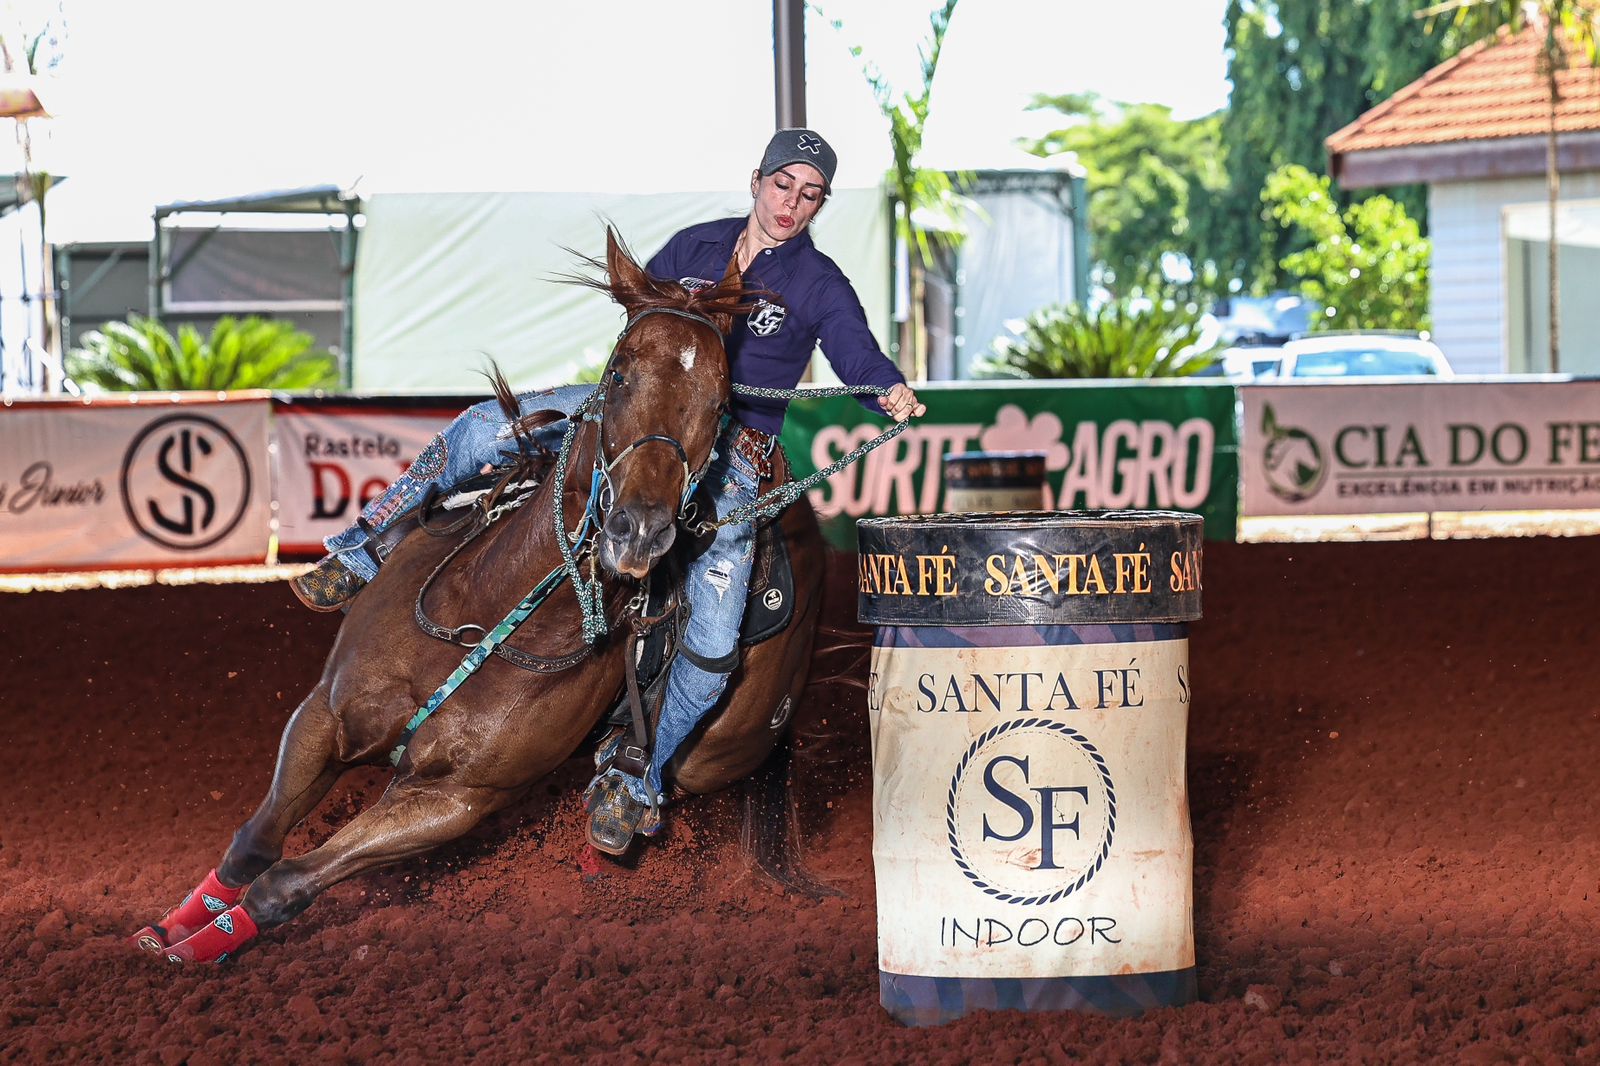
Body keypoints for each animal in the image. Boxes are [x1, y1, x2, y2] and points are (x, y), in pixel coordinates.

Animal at [134, 232, 825, 960]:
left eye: (721, 402)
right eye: (618, 375)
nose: (639, 529)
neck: (487, 613)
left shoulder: (455, 800)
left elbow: (284, 882)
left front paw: (197, 949)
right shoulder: (325, 714)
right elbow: (257, 842)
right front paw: (174, 932)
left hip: (713, 757)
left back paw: (618, 809)